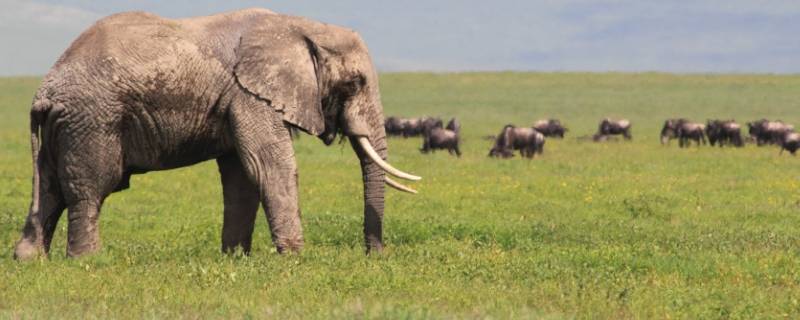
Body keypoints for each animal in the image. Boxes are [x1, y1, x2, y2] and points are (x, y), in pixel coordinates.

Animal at [14, 9, 418, 260]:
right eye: (355, 82)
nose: (375, 254)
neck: (302, 25)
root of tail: (43, 91)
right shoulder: (249, 95)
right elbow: (269, 165)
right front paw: (295, 257)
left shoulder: (237, 100)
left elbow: (241, 176)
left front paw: (236, 258)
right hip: (92, 121)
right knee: (90, 188)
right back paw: (88, 261)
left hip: (63, 127)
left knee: (50, 189)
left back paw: (29, 261)